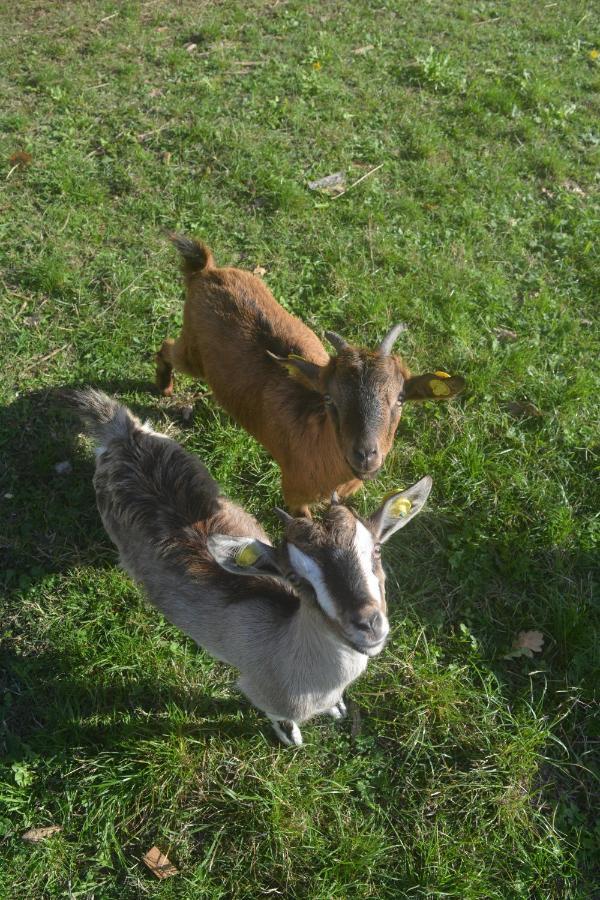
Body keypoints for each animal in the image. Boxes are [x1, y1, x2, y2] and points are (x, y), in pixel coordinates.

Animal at [69, 386, 432, 744]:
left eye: (376, 551)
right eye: (294, 578)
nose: (367, 624)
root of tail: (123, 433)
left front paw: (338, 709)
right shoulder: (258, 691)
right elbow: (280, 718)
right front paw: (290, 735)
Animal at [156, 236, 464, 516]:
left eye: (400, 398)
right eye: (329, 399)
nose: (365, 456)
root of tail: (206, 270)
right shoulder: (294, 494)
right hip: (192, 354)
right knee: (166, 347)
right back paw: (164, 387)